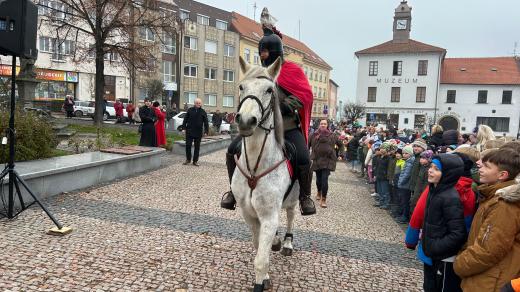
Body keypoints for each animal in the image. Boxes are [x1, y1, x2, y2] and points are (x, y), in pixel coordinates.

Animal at [231, 56, 298, 290]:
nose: (245, 120)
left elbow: (261, 259)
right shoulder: (249, 214)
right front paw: (266, 276)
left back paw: (286, 243)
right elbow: (258, 245)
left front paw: (262, 280)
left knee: (291, 215)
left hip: (293, 199)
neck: (255, 167)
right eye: (241, 87)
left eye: (270, 90)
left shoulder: (269, 216)